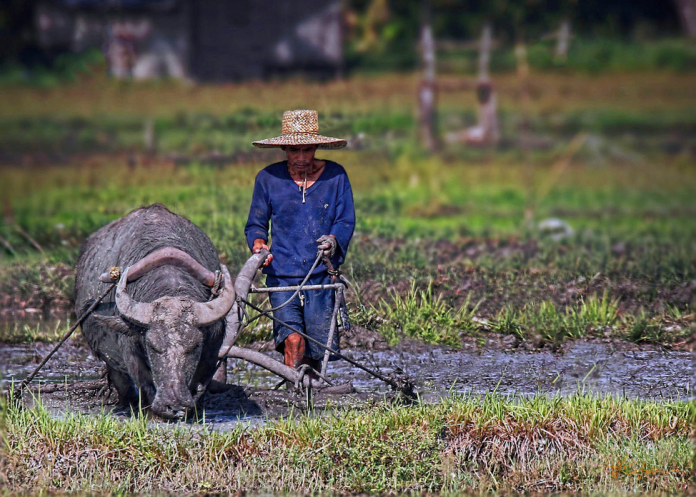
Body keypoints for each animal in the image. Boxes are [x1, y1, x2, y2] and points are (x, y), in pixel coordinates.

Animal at [75, 203, 235, 416]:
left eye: (194, 346)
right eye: (152, 346)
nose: (174, 403)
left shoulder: (211, 351)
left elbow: (200, 384)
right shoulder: (130, 350)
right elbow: (143, 381)